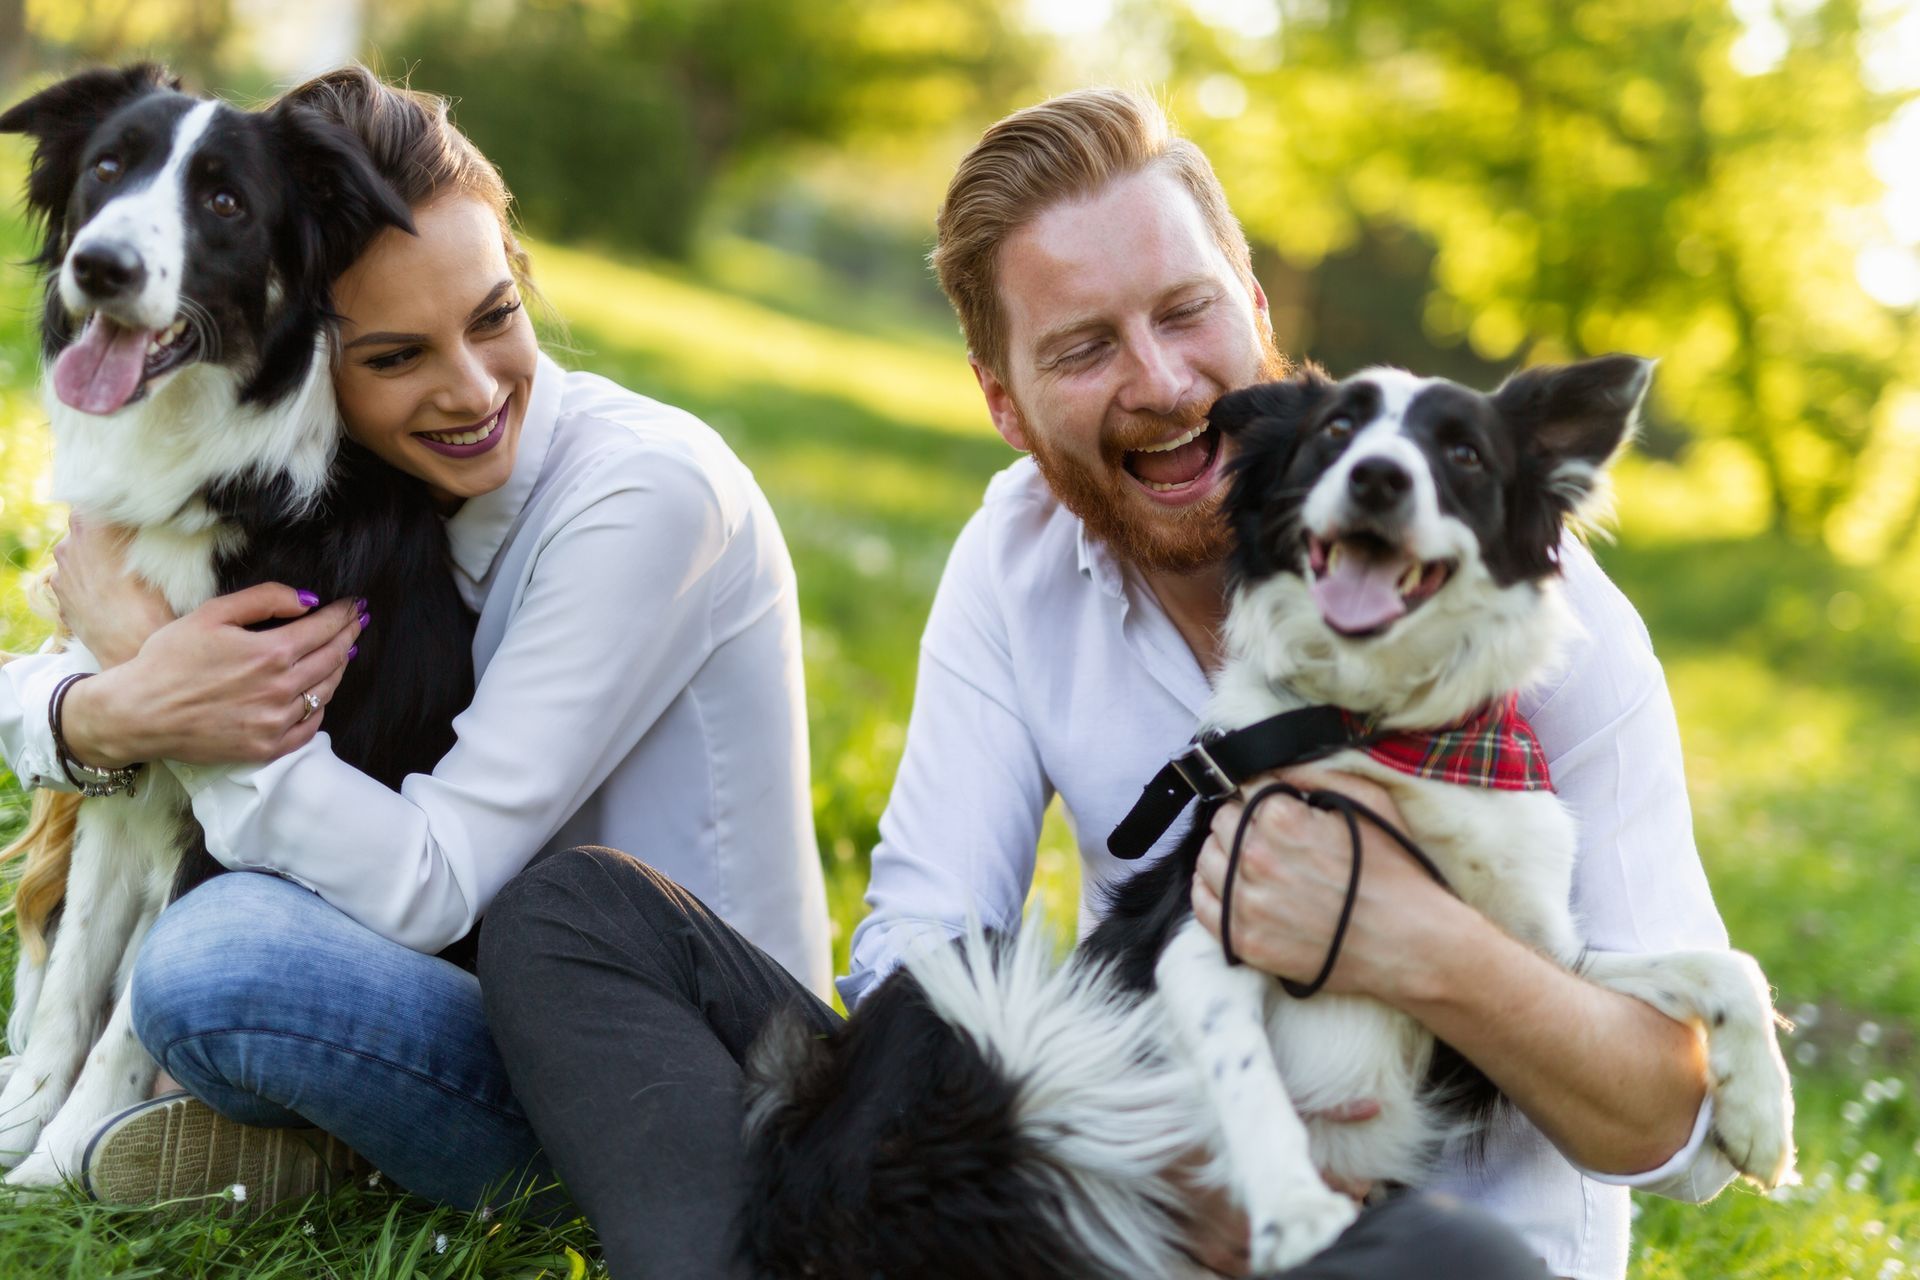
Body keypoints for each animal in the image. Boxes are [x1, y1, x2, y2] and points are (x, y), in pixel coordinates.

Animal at [0, 67, 476, 1189]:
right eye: (108, 167)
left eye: (224, 202)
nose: (103, 266)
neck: (209, 470)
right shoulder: (127, 773)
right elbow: (78, 977)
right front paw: (26, 1141)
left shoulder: (235, 810)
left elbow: (133, 1003)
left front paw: (67, 1160)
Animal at [741, 355, 1789, 1274]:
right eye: (1336, 432)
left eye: (1462, 453)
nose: (1376, 478)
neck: (1376, 729)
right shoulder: (1205, 941)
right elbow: (1247, 1080)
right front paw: (1294, 1212)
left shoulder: (1515, 970)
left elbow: (1718, 965)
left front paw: (1759, 1119)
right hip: (962, 983)